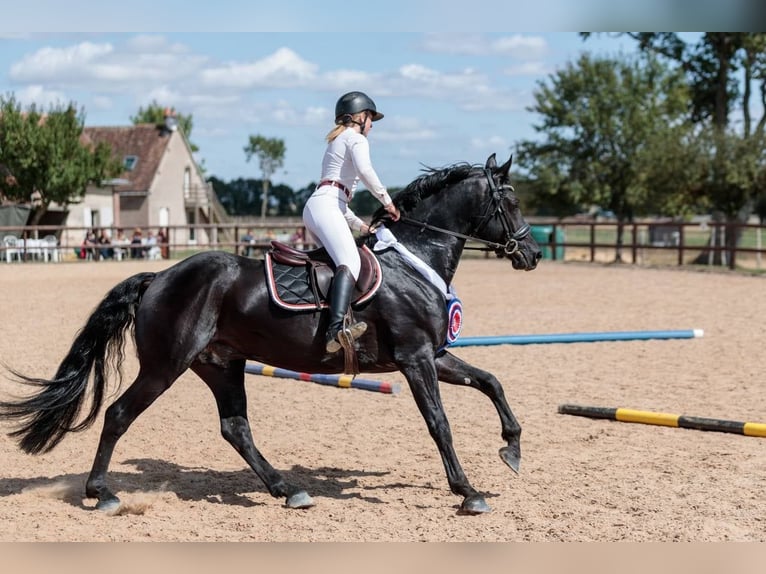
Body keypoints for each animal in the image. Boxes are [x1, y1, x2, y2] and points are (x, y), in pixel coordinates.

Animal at [0, 153, 544, 516]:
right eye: (511, 200)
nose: (532, 254)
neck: (413, 260)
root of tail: (158, 277)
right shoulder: (415, 359)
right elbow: (439, 424)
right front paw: (468, 492)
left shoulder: (435, 354)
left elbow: (491, 381)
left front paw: (512, 449)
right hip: (165, 366)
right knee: (118, 415)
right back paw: (102, 494)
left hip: (221, 364)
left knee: (235, 427)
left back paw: (288, 490)